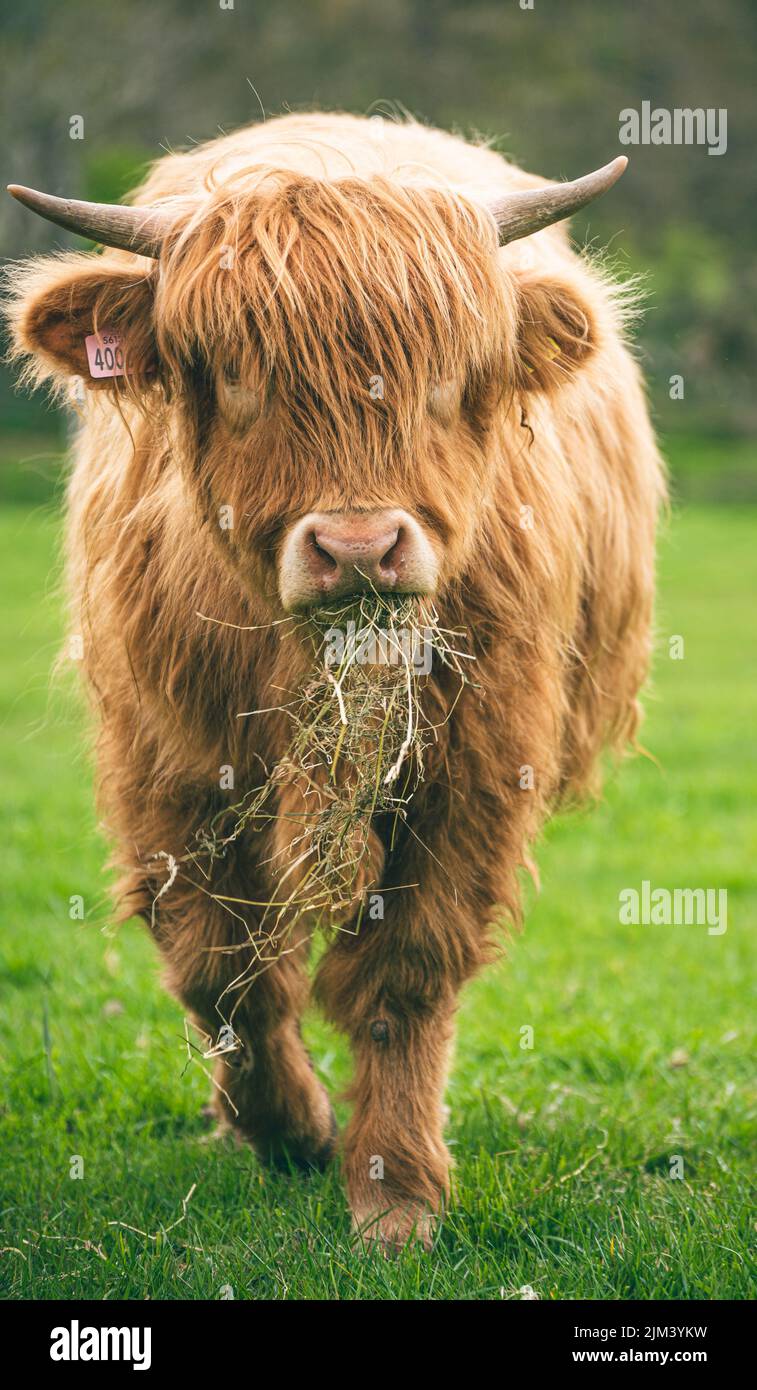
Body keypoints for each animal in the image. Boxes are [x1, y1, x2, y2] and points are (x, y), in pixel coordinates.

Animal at [5, 112, 665, 1250]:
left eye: (448, 376)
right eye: (232, 373)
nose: (359, 547)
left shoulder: (471, 771)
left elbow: (403, 975)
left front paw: (392, 1193)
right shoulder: (169, 770)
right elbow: (220, 969)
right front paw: (290, 1132)